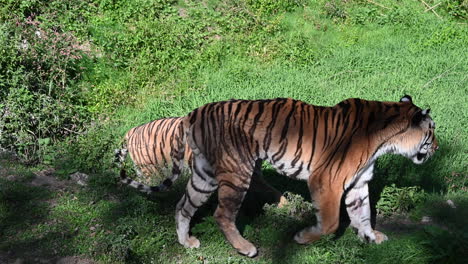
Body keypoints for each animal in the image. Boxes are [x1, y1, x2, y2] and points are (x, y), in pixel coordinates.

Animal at [166, 94, 436, 256]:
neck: (386, 141)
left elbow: (363, 214)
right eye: (432, 131)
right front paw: (303, 237)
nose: (437, 148)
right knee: (221, 214)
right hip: (236, 171)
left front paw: (369, 237)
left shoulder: (359, 183)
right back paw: (245, 247)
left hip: (206, 175)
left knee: (182, 205)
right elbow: (330, 222)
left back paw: (186, 241)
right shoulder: (327, 180)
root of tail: (193, 113)